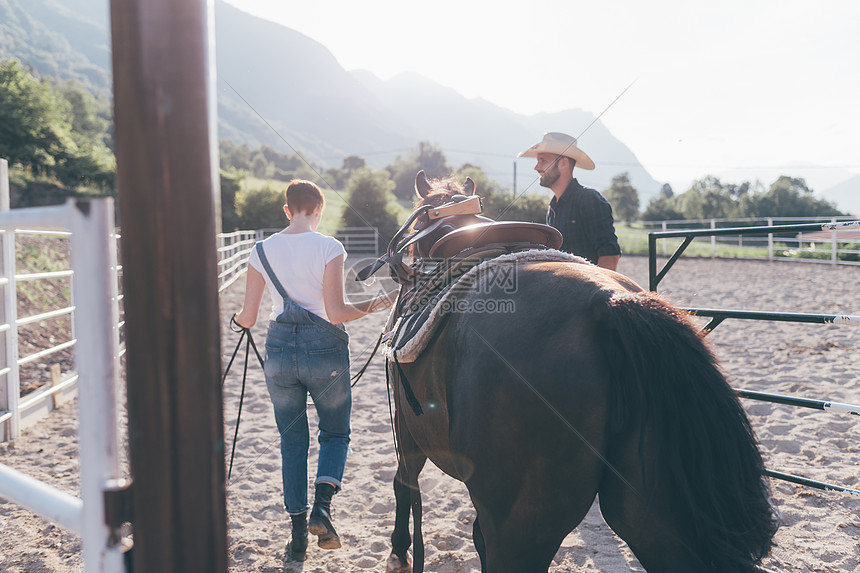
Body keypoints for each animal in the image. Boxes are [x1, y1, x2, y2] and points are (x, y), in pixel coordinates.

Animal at [382, 172, 780, 568]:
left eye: (416, 222)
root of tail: (607, 301)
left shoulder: (405, 424)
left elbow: (404, 484)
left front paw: (399, 551)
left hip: (520, 527)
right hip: (654, 518)